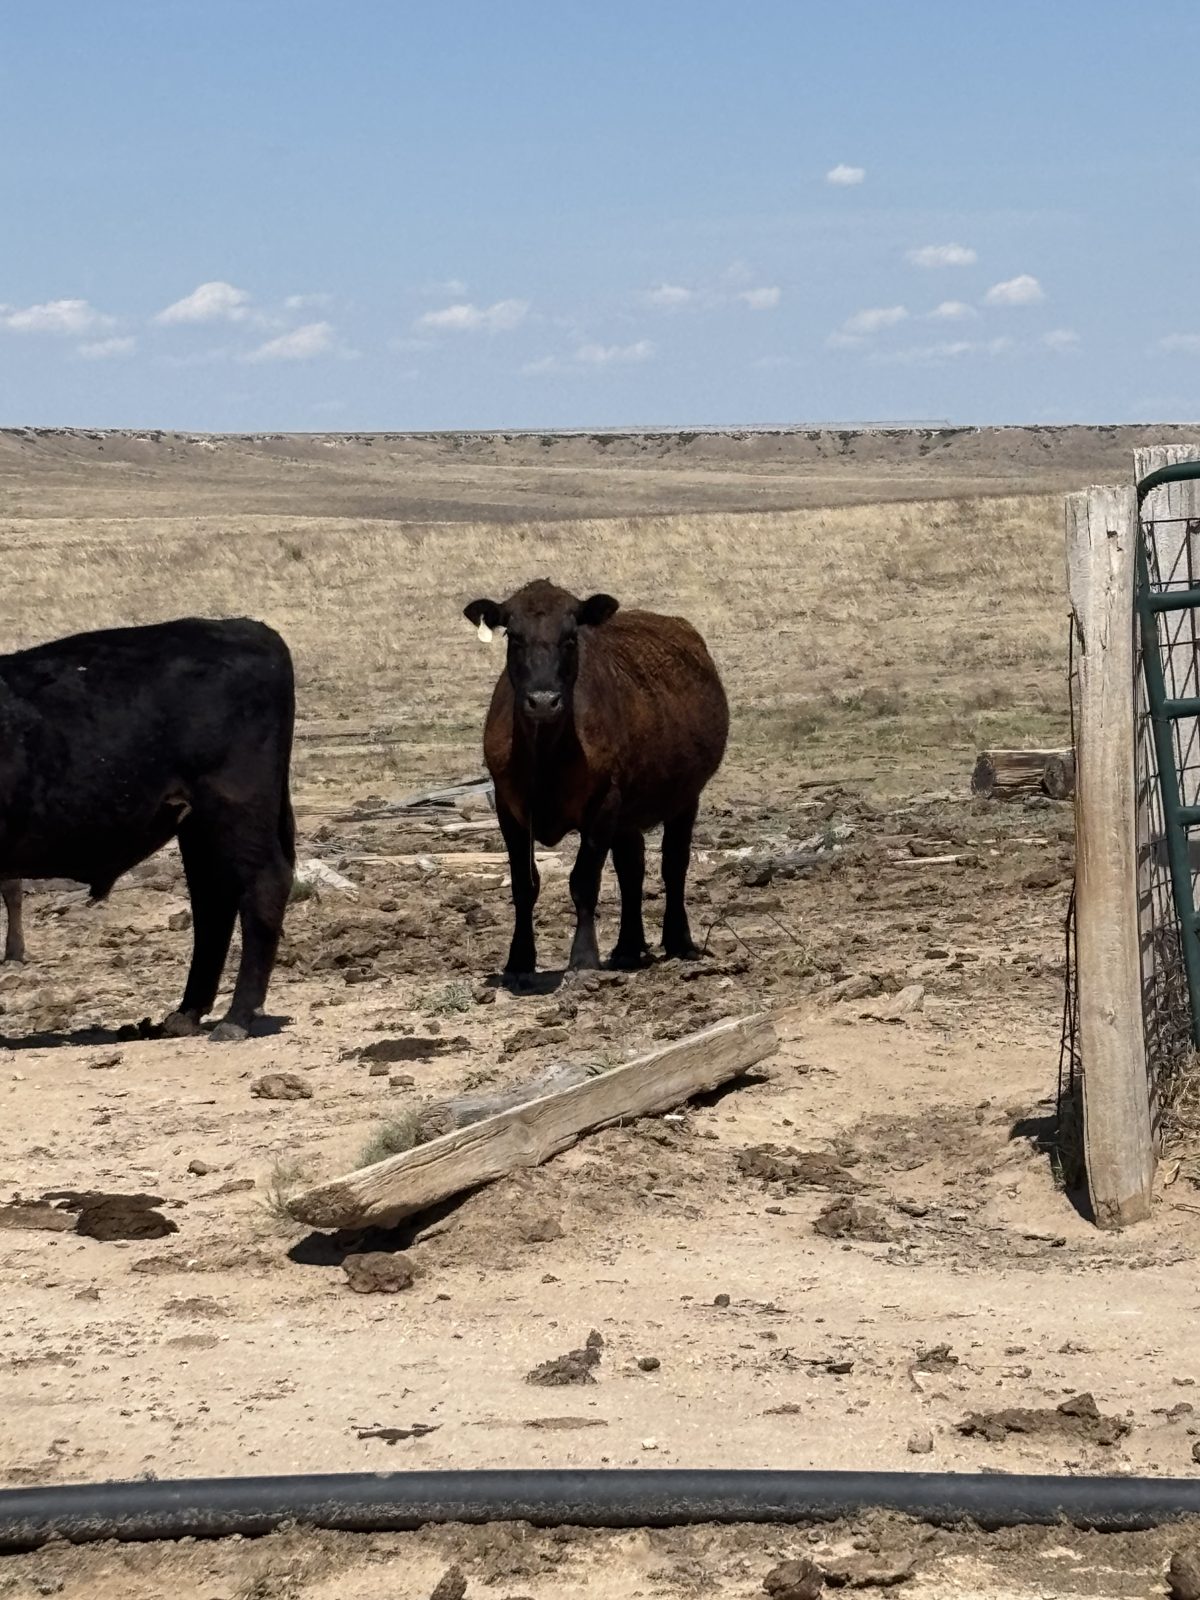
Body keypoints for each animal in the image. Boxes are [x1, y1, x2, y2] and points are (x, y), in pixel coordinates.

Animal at [0, 617, 295, 1041]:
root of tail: (246, 627)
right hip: (198, 825)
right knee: (213, 902)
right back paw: (187, 1013)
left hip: (236, 810)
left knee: (263, 885)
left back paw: (236, 1018)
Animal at [463, 578, 728, 976]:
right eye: (514, 636)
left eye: (570, 637)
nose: (544, 700)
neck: (546, 757)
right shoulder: (509, 808)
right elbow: (524, 884)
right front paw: (519, 960)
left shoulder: (603, 804)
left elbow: (584, 881)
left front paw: (584, 958)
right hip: (629, 812)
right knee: (632, 869)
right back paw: (628, 947)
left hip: (684, 798)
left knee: (673, 864)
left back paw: (678, 941)